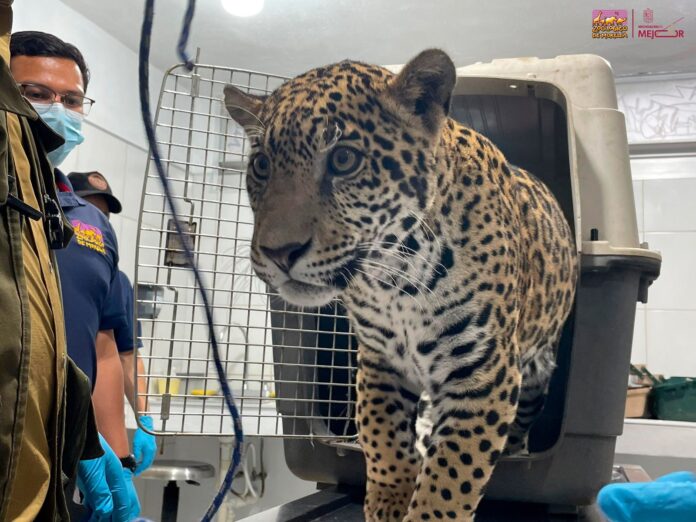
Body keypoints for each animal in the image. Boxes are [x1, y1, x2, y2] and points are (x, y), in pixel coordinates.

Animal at [224, 49, 577, 522]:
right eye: (261, 166)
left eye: (343, 160)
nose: (279, 252)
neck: (394, 278)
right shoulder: (379, 361)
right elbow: (383, 437)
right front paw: (388, 500)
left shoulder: (482, 374)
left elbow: (453, 473)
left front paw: (428, 509)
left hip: (537, 368)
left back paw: (516, 452)